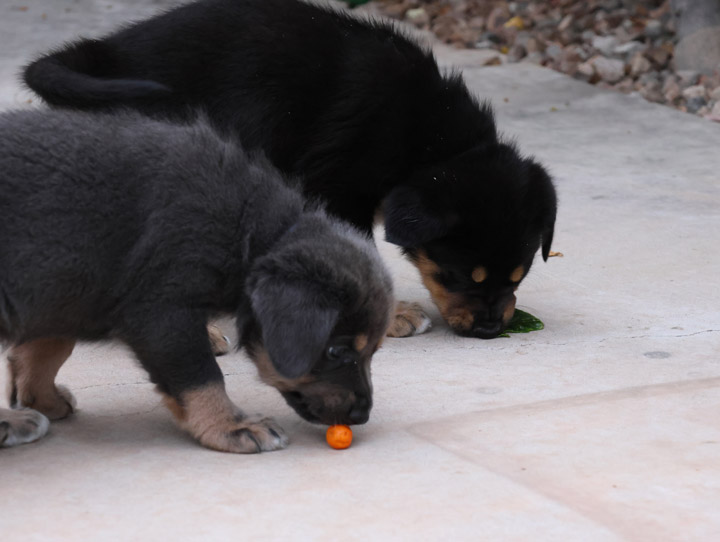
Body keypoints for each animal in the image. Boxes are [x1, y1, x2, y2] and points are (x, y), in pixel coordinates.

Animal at [0, 108, 394, 452]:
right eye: (335, 351)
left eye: (374, 350)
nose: (362, 414)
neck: (248, 231)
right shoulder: (164, 311)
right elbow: (201, 375)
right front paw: (232, 426)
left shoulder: (66, 281)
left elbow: (48, 345)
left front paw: (40, 398)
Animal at [22, 0, 556, 340]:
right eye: (457, 275)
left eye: (518, 276)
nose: (490, 329)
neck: (430, 142)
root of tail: (105, 52)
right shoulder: (339, 188)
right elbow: (359, 249)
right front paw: (391, 316)